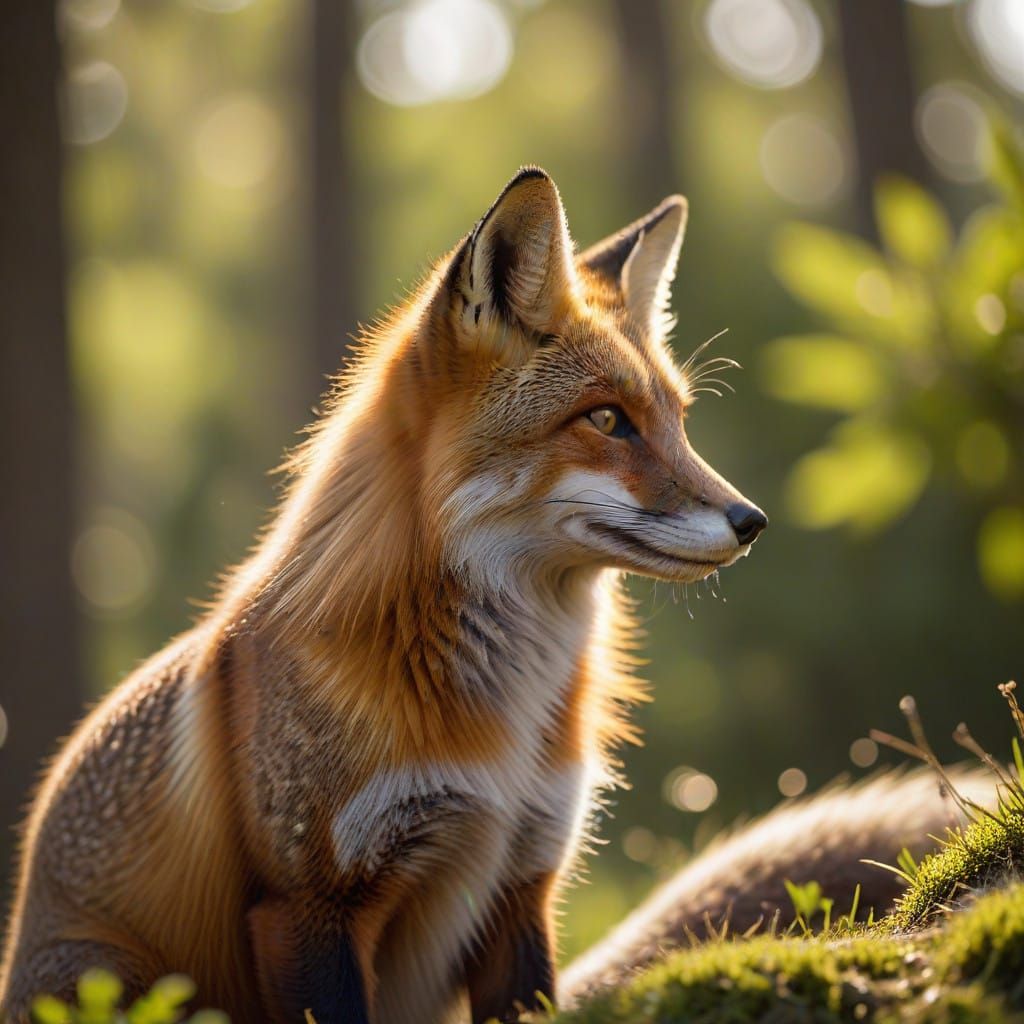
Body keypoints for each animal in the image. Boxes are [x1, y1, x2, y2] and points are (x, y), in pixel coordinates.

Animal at [4, 165, 770, 1024]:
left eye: (678, 421)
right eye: (607, 420)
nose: (753, 522)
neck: (500, 731)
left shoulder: (521, 885)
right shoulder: (306, 906)